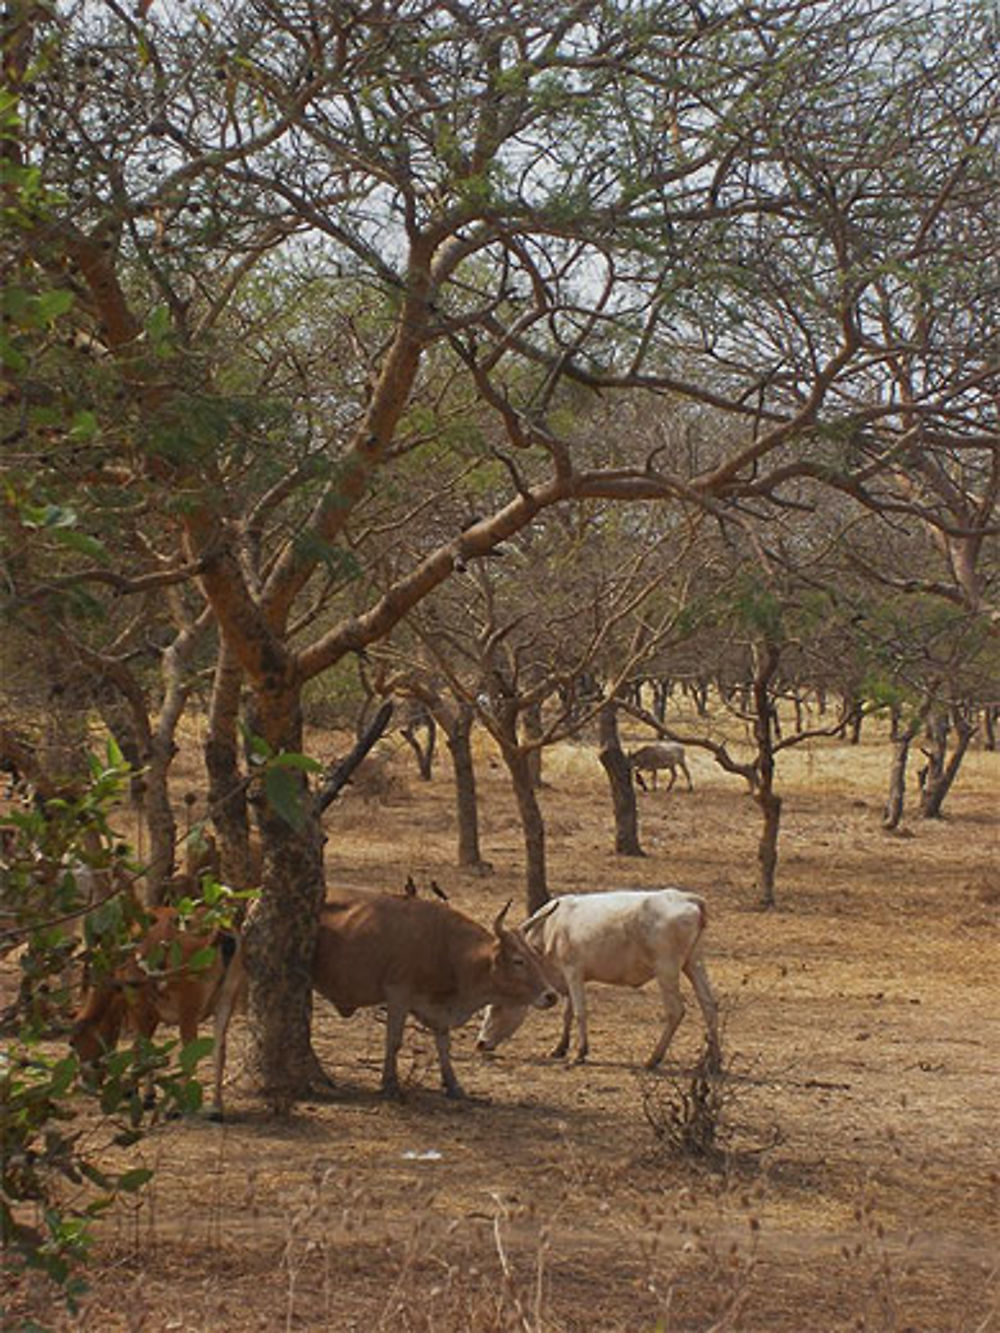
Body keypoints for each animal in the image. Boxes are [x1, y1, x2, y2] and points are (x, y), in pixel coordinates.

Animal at [70, 906, 246, 1114]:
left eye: (73, 1042)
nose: (86, 1085)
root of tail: (220, 932)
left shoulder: (140, 1004)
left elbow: (141, 1046)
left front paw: (142, 1094)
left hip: (189, 1004)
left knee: (191, 1052)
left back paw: (177, 1107)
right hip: (228, 997)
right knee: (219, 1049)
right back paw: (216, 1107)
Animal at [317, 890, 560, 1098]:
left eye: (536, 956)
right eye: (518, 961)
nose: (551, 995)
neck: (446, 948)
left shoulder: (438, 1010)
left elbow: (444, 1044)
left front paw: (453, 1085)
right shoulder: (398, 994)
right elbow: (394, 1040)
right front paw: (390, 1084)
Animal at [477, 890, 720, 1066]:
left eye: (497, 1007)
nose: (480, 1043)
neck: (550, 928)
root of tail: (688, 898)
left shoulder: (573, 971)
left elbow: (579, 1012)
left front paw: (580, 1053)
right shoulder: (567, 979)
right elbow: (567, 1013)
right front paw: (559, 1048)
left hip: (666, 969)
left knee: (675, 1010)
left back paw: (653, 1059)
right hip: (693, 963)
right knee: (709, 1005)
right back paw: (713, 1060)